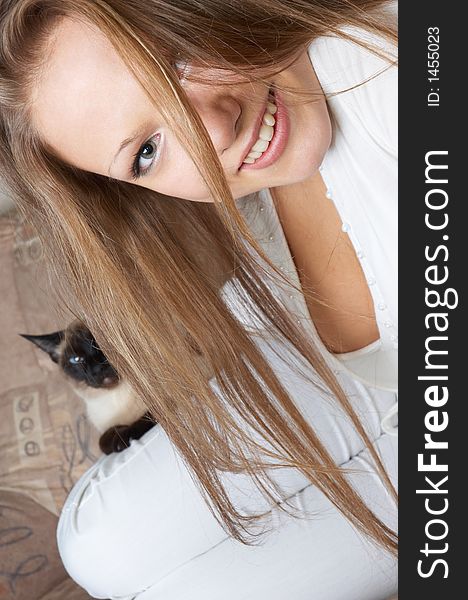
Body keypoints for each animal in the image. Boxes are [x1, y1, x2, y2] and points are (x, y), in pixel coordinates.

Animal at [19, 318, 155, 454]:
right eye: (76, 359)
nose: (98, 369)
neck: (116, 396)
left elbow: (146, 417)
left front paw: (123, 438)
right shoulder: (104, 430)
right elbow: (103, 440)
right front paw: (117, 439)